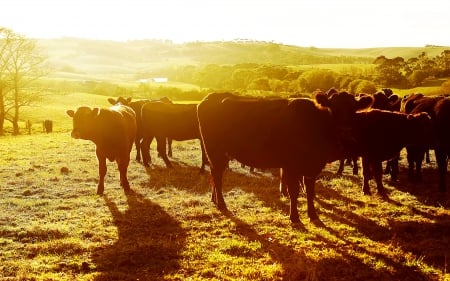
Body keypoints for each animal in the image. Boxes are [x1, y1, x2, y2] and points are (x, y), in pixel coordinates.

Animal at [197, 91, 372, 222]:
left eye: (354, 109)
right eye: (332, 109)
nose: (345, 131)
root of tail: (209, 98)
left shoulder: (311, 168)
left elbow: (310, 191)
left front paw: (313, 215)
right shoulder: (292, 165)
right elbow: (294, 191)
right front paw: (294, 217)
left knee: (214, 175)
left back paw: (215, 200)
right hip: (215, 152)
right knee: (217, 176)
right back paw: (222, 204)